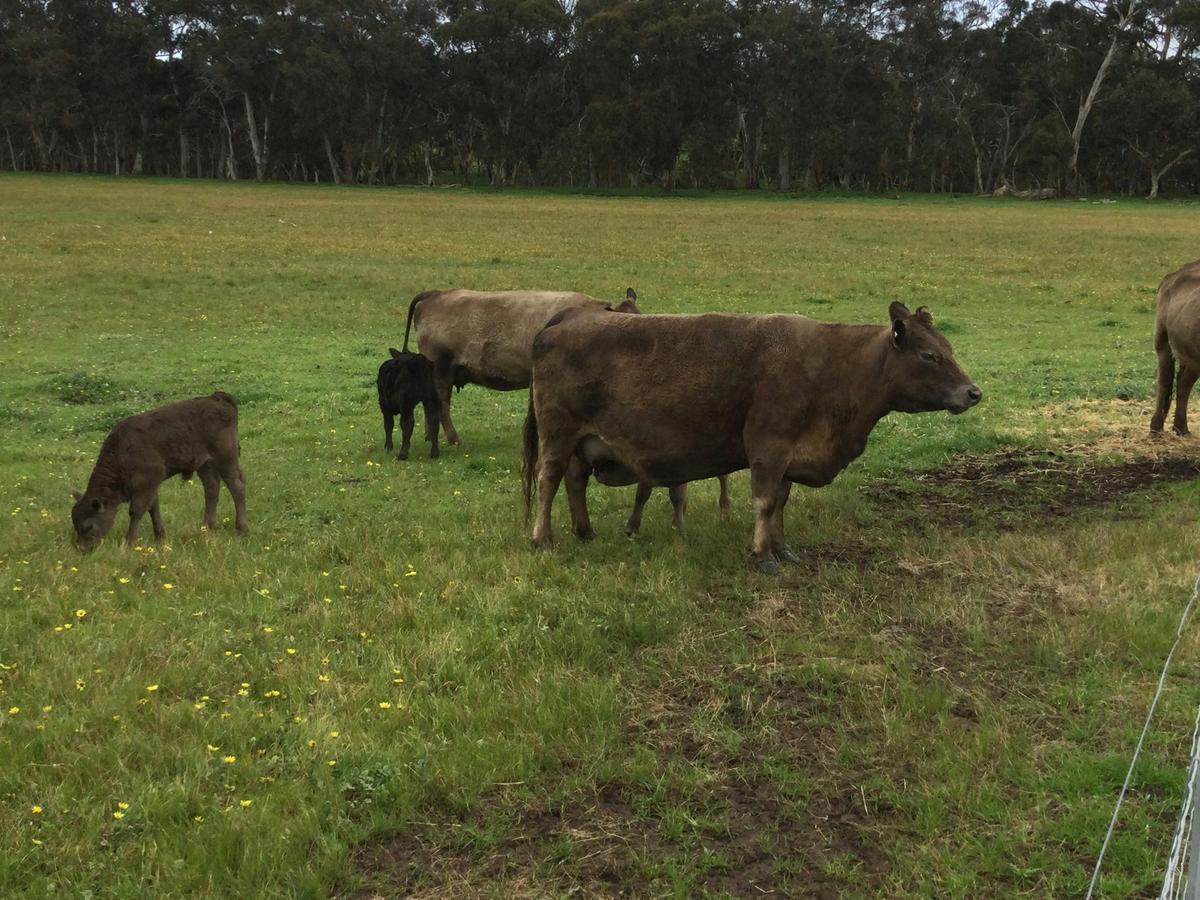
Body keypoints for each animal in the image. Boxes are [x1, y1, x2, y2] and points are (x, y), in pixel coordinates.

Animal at [70, 392, 247, 551]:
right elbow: (153, 508)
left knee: (237, 486)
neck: (121, 451)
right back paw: (207, 528)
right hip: (205, 464)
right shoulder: (150, 484)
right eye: (75, 525)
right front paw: (160, 538)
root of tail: (216, 398)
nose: (81, 548)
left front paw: (129, 542)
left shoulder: (147, 480)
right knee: (211, 488)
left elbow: (137, 510)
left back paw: (241, 529)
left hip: (226, 459)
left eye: (88, 527)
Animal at [521, 302, 981, 573]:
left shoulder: (790, 457)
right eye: (929, 355)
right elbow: (764, 501)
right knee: (548, 480)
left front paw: (782, 548)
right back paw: (543, 538)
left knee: (574, 482)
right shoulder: (768, 447)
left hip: (583, 443)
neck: (832, 366)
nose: (973, 392)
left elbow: (780, 502)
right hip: (559, 433)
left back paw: (585, 532)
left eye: (949, 348)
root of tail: (567, 319)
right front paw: (762, 555)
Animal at [1151, 260, 1200, 436]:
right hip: (1163, 343)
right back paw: (1156, 428)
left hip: (1191, 355)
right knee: (1164, 381)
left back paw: (1181, 428)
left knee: (1183, 383)